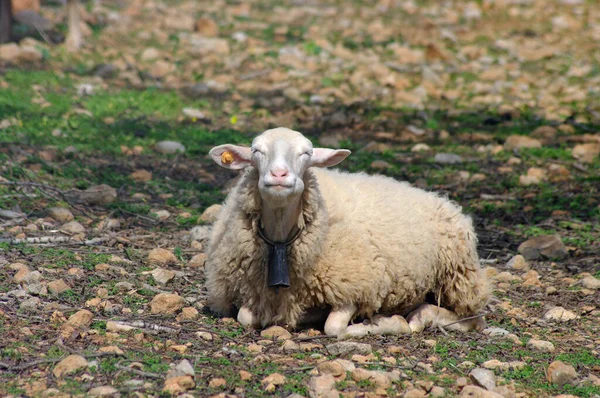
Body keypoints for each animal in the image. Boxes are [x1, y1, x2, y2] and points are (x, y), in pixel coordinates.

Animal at [204, 126, 490, 336]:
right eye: (256, 150)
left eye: (307, 153)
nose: (279, 175)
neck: (281, 241)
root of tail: (442, 199)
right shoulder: (249, 291)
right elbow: (244, 316)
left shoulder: (356, 286)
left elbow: (334, 328)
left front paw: (384, 323)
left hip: (459, 275)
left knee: (472, 319)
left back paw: (421, 316)